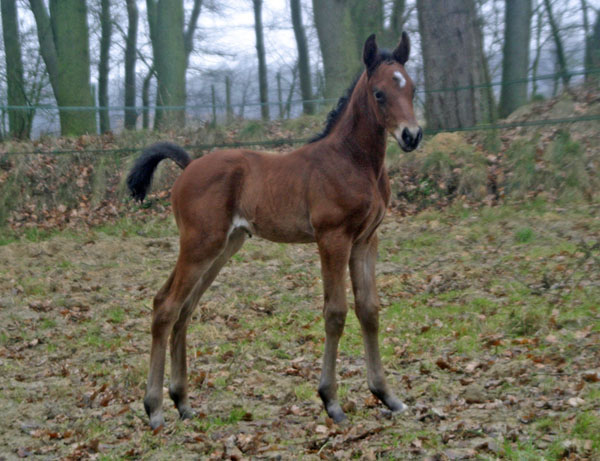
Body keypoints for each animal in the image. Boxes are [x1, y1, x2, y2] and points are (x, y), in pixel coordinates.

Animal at [127, 32, 422, 428]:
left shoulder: (365, 240)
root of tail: (188, 167)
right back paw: (155, 409)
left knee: (183, 308)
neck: (353, 161)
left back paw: (182, 402)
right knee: (167, 307)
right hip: (200, 244)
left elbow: (369, 310)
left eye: (412, 89)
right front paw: (331, 401)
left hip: (224, 246)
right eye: (379, 93)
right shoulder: (333, 238)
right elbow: (335, 312)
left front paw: (387, 396)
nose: (411, 136)